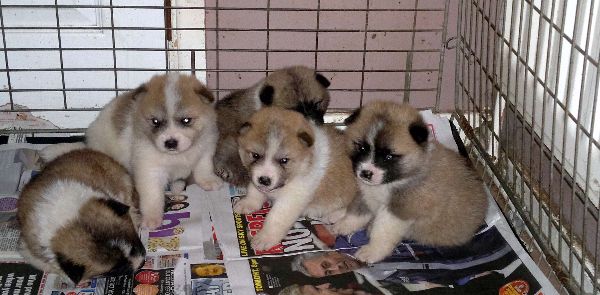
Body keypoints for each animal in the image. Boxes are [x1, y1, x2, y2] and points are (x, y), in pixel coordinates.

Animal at [234, 107, 356, 251]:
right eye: (255, 155)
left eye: (284, 160)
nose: (264, 180)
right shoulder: (256, 180)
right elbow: (254, 191)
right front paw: (248, 203)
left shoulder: (291, 199)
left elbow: (275, 218)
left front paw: (265, 237)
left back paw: (334, 217)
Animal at [332, 102, 488, 264]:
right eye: (362, 147)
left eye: (389, 156)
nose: (366, 173)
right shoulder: (366, 194)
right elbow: (356, 212)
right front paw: (344, 224)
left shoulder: (398, 211)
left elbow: (381, 232)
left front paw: (373, 251)